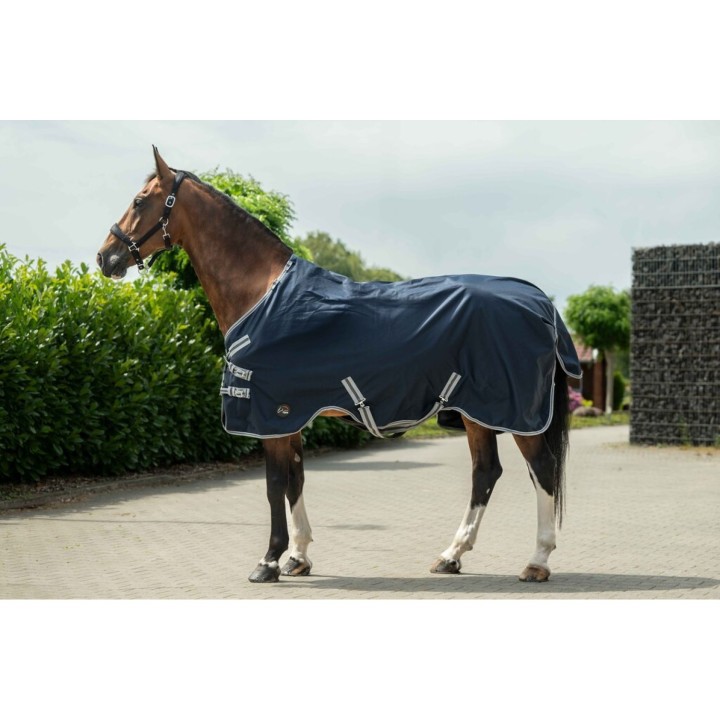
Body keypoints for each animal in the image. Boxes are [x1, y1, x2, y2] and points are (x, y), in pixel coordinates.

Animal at [97, 146, 582, 584]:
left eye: (139, 201)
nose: (105, 258)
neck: (262, 294)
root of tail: (540, 302)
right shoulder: (288, 416)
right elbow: (295, 481)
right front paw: (297, 557)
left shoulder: (271, 414)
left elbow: (274, 485)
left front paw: (268, 562)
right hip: (476, 412)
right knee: (486, 473)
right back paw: (451, 556)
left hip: (514, 413)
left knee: (542, 471)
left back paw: (537, 562)